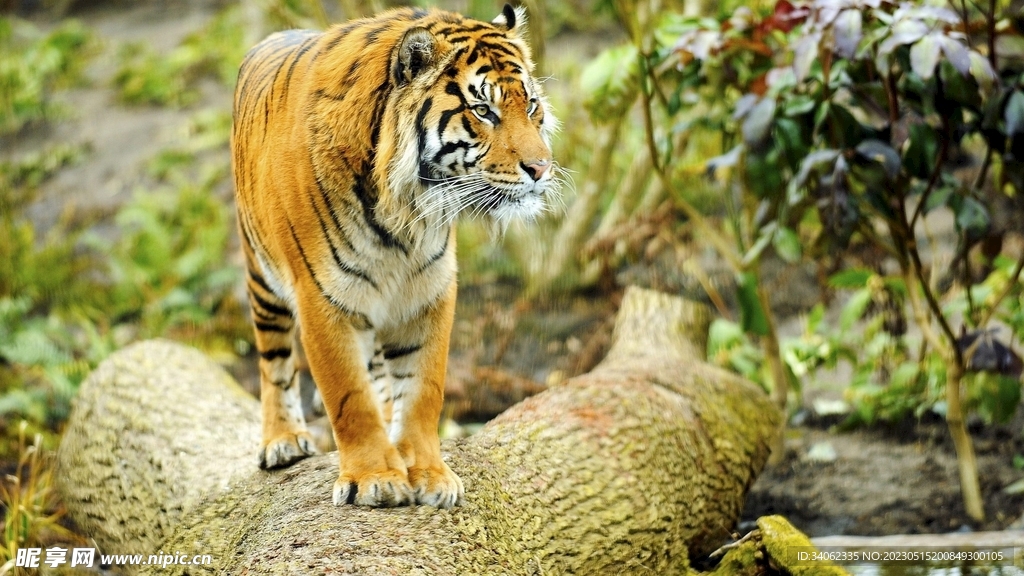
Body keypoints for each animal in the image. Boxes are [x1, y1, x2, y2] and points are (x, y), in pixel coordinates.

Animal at [230, 4, 558, 508]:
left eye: (532, 105)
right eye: (484, 110)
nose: (541, 169)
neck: (405, 210)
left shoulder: (427, 291)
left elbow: (423, 390)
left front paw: (429, 474)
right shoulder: (322, 300)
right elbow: (349, 397)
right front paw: (375, 478)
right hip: (261, 277)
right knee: (274, 361)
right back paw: (282, 441)